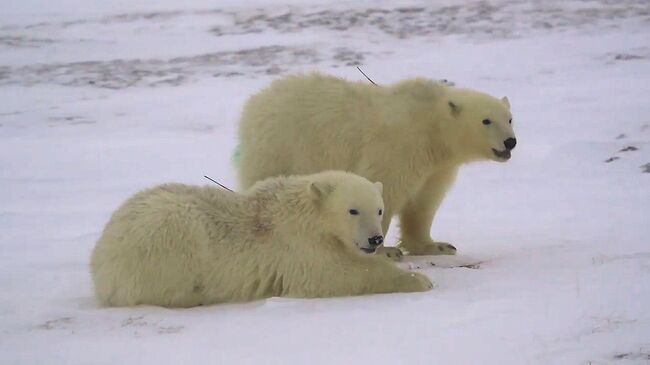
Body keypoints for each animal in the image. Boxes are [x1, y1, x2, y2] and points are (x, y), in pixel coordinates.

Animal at [90, 171, 430, 308]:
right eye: (352, 210)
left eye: (379, 209)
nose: (375, 239)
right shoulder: (298, 244)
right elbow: (332, 274)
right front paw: (420, 280)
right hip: (166, 238)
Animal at [235, 72, 512, 256]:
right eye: (486, 120)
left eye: (509, 118)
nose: (511, 142)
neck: (431, 124)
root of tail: (254, 104)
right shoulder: (399, 146)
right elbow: (386, 189)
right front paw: (385, 250)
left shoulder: (436, 166)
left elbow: (423, 202)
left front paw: (436, 245)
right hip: (283, 147)